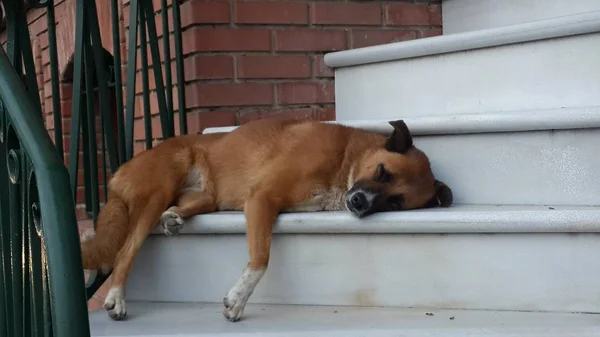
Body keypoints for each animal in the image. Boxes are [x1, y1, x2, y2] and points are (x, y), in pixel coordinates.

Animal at [79, 117, 450, 320]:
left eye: (396, 203)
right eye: (382, 172)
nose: (359, 203)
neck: (345, 157)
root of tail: (118, 174)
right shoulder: (262, 198)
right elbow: (261, 259)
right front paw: (238, 299)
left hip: (206, 196)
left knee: (189, 206)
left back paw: (174, 217)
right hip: (160, 187)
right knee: (125, 250)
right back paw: (116, 297)